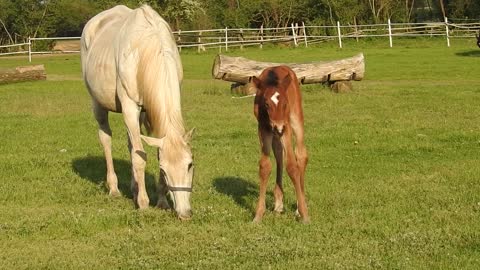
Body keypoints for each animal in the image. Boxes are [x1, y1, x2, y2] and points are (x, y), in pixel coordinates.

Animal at [81, 4, 194, 219]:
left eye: (190, 165)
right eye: (165, 171)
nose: (184, 213)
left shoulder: (148, 111)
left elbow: (145, 151)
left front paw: (161, 201)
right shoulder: (129, 107)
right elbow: (139, 158)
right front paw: (143, 203)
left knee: (130, 144)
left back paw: (133, 189)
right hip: (98, 105)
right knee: (106, 139)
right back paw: (114, 189)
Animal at [251, 65, 308, 224]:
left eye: (285, 103)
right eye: (266, 104)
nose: (279, 127)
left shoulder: (286, 126)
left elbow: (292, 166)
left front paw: (304, 214)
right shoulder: (263, 128)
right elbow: (265, 166)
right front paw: (258, 215)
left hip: (295, 120)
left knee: (301, 155)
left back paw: (298, 207)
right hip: (275, 134)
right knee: (279, 155)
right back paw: (278, 204)